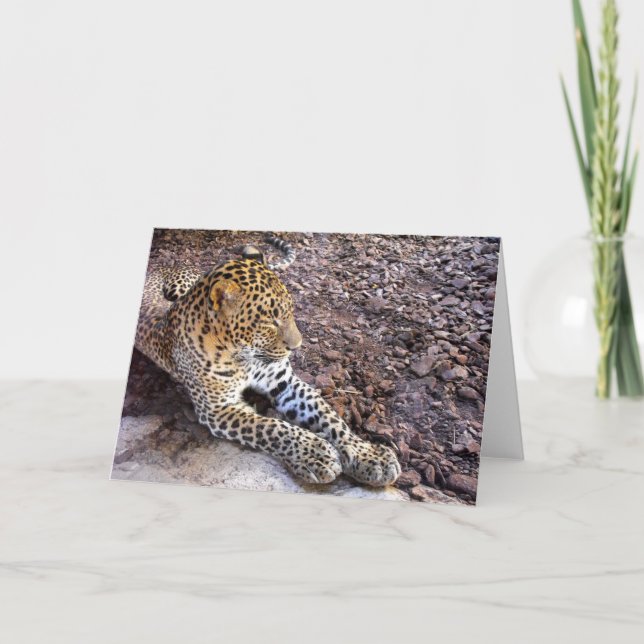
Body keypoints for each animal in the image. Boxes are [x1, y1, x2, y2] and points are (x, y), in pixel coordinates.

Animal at [134, 238, 401, 487]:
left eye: (291, 310)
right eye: (270, 321)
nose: (297, 346)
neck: (244, 355)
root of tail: (164, 264)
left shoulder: (284, 383)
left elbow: (330, 417)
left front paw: (368, 455)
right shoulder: (217, 408)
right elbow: (270, 427)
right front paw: (316, 454)